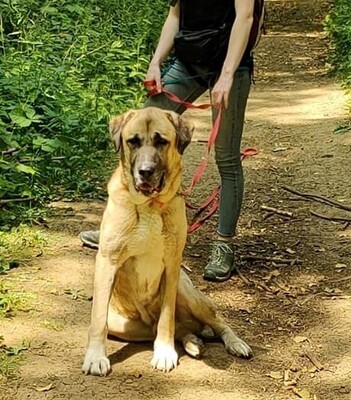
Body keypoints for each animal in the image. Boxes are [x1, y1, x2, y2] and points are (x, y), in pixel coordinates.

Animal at [82, 107, 253, 376]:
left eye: (161, 141)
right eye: (133, 141)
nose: (145, 171)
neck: (150, 206)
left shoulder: (172, 266)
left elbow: (166, 316)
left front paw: (163, 352)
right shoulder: (107, 262)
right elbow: (97, 319)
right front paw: (95, 357)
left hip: (189, 293)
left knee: (217, 321)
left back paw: (234, 343)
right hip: (121, 324)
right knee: (181, 329)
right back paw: (193, 342)